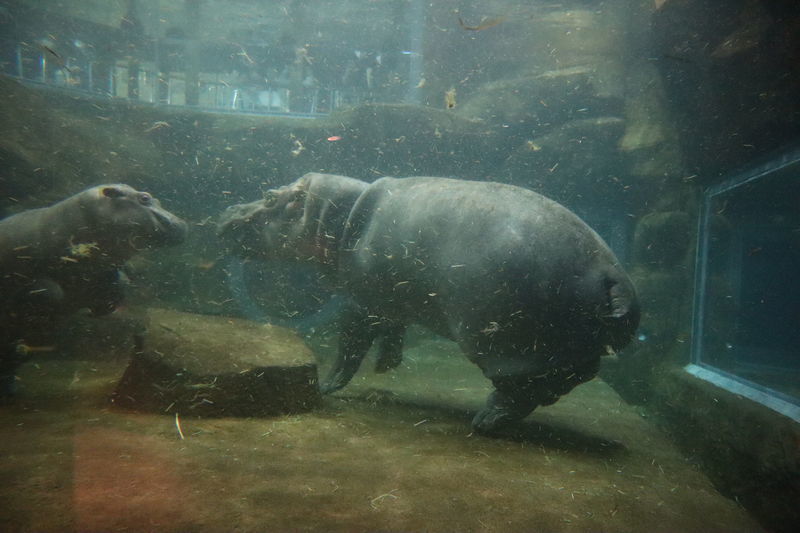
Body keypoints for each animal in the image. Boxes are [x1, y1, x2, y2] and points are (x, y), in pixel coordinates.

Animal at [0, 184, 188, 398]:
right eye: (145, 198)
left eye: (157, 200)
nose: (182, 224)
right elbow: (50, 290)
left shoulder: (104, 273)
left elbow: (118, 286)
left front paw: (100, 309)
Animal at [218, 173, 639, 433]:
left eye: (270, 198)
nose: (226, 212)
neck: (336, 217)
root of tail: (610, 273)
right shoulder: (391, 298)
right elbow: (392, 331)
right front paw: (386, 365)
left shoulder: (360, 299)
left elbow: (350, 343)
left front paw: (327, 386)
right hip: (570, 346)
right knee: (571, 375)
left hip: (503, 344)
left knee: (521, 389)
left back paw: (486, 422)